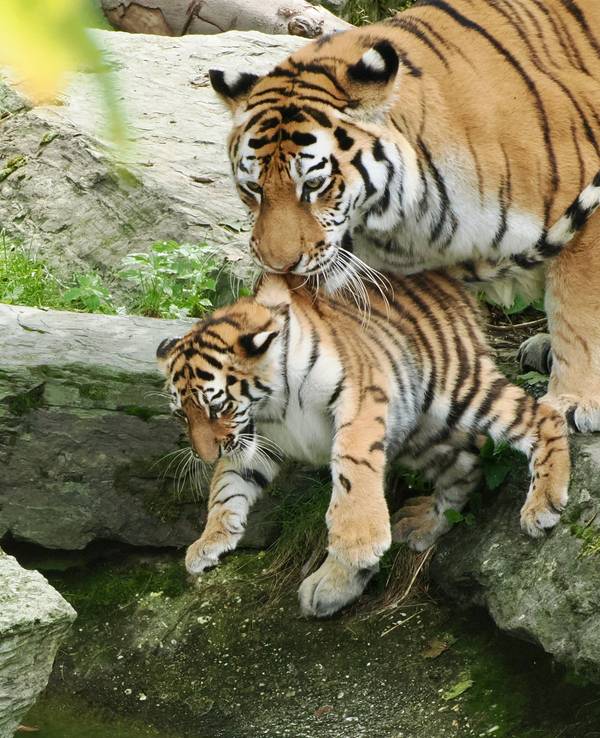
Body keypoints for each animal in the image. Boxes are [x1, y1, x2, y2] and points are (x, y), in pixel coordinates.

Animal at [156, 270, 570, 617]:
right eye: (182, 415)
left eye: (217, 407)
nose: (206, 454)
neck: (272, 404)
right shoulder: (258, 441)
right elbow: (226, 488)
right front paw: (208, 541)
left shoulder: (360, 398)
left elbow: (351, 469)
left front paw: (358, 539)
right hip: (419, 432)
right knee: (466, 465)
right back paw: (421, 528)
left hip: (459, 389)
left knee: (542, 417)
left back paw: (543, 504)